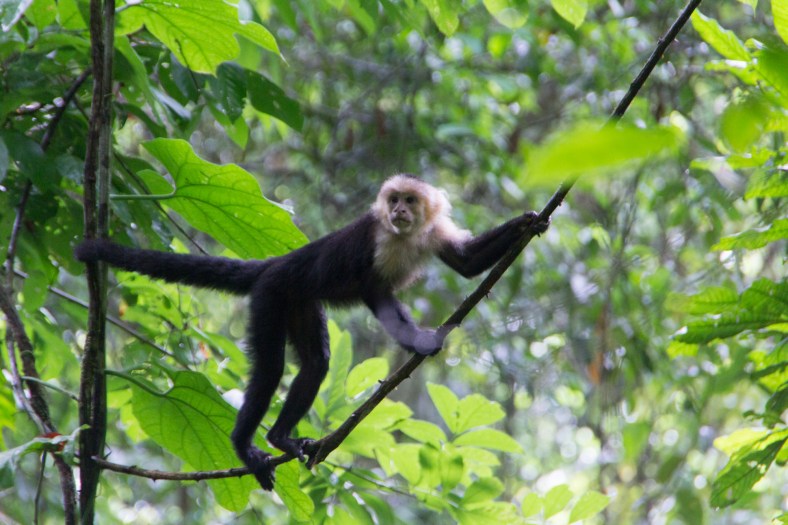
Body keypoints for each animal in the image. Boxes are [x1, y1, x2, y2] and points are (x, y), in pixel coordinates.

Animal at [75, 174, 549, 490]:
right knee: (269, 369)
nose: (398, 211)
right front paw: (419, 341)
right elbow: (374, 291)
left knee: (316, 363)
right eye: (394, 200)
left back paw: (280, 437)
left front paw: (527, 223)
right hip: (271, 297)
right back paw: (247, 446)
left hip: (300, 303)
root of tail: (276, 263)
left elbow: (466, 263)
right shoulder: (376, 241)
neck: (404, 236)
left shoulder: (432, 232)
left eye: (410, 201)